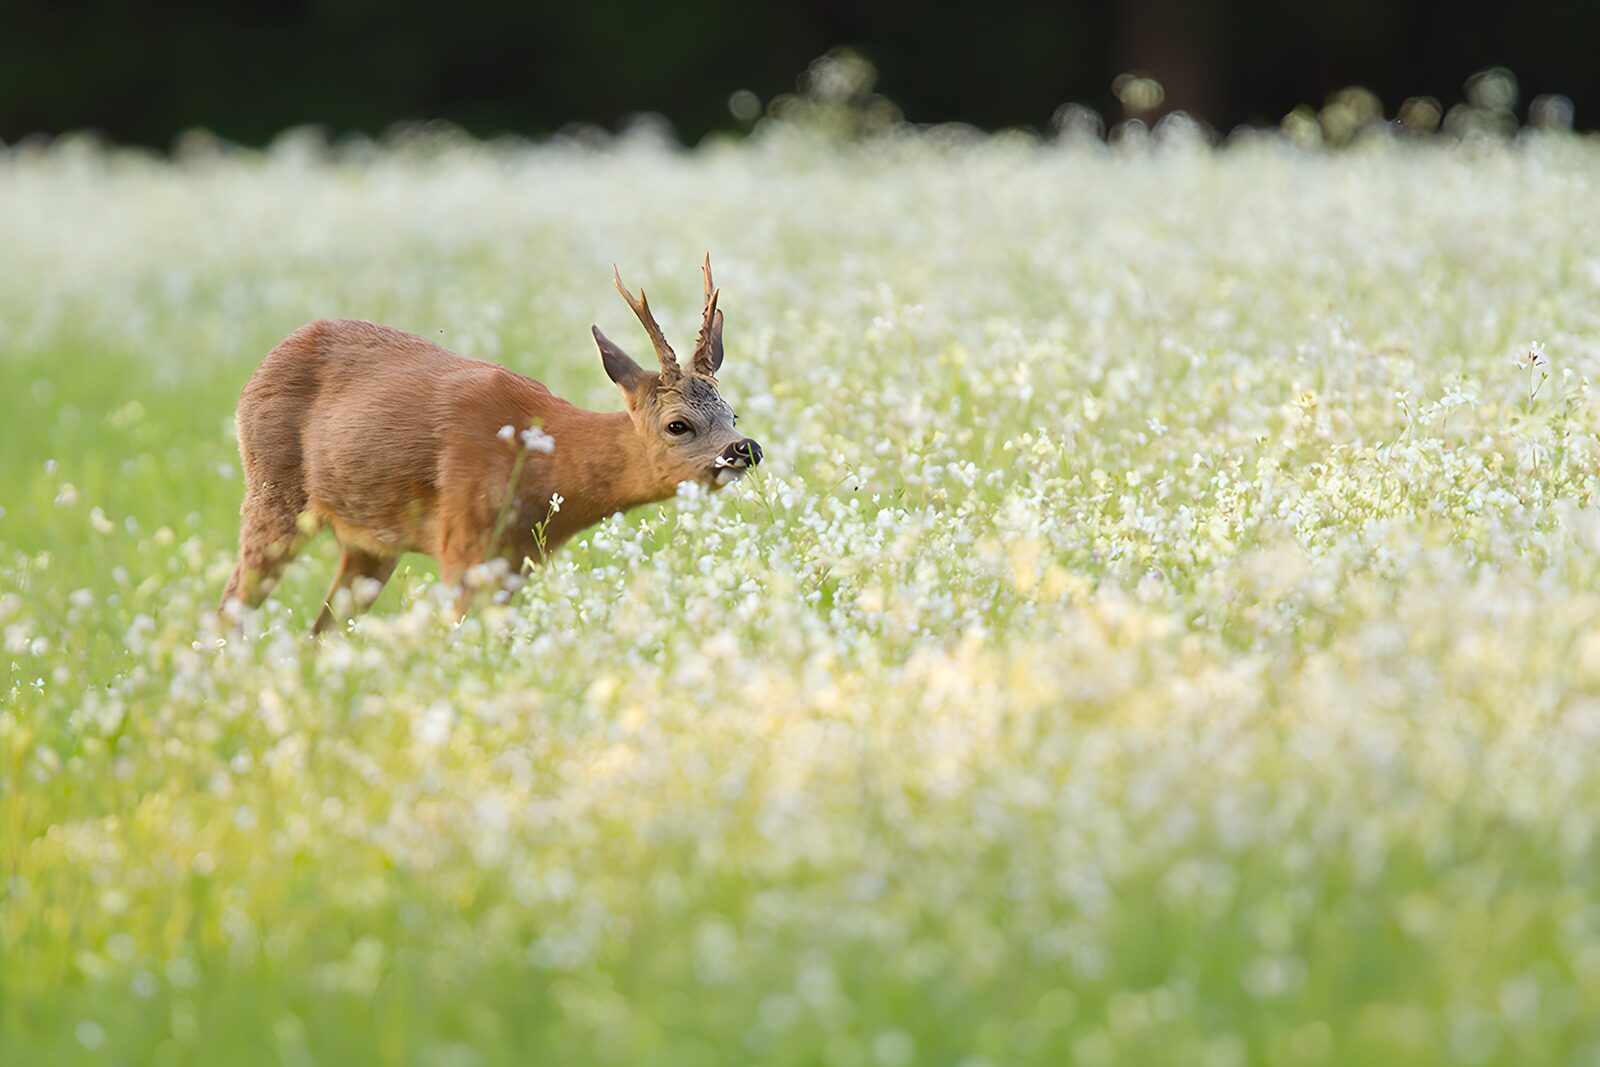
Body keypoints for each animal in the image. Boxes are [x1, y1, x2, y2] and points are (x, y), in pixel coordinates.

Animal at [219, 255, 763, 634]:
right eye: (678, 425)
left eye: (733, 414)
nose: (746, 448)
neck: (544, 461)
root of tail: (255, 375)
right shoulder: (462, 544)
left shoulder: (516, 561)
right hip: (272, 493)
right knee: (231, 605)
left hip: (368, 542)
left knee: (321, 629)